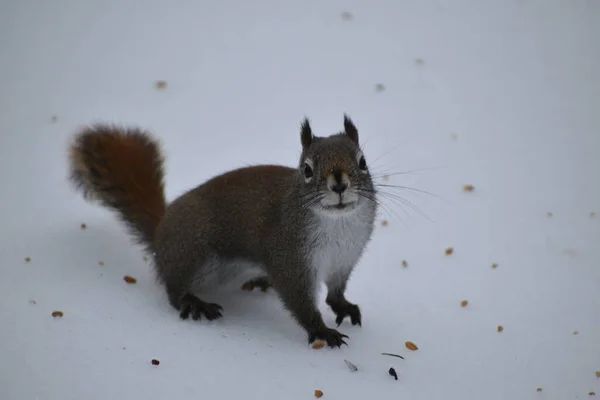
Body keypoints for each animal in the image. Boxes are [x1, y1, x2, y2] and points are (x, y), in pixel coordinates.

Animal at [69, 115, 376, 346]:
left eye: (362, 162)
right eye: (307, 169)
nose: (339, 184)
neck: (338, 223)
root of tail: (161, 233)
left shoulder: (345, 259)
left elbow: (335, 291)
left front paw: (343, 305)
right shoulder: (289, 259)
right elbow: (299, 301)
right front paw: (321, 331)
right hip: (193, 251)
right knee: (174, 290)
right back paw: (194, 302)